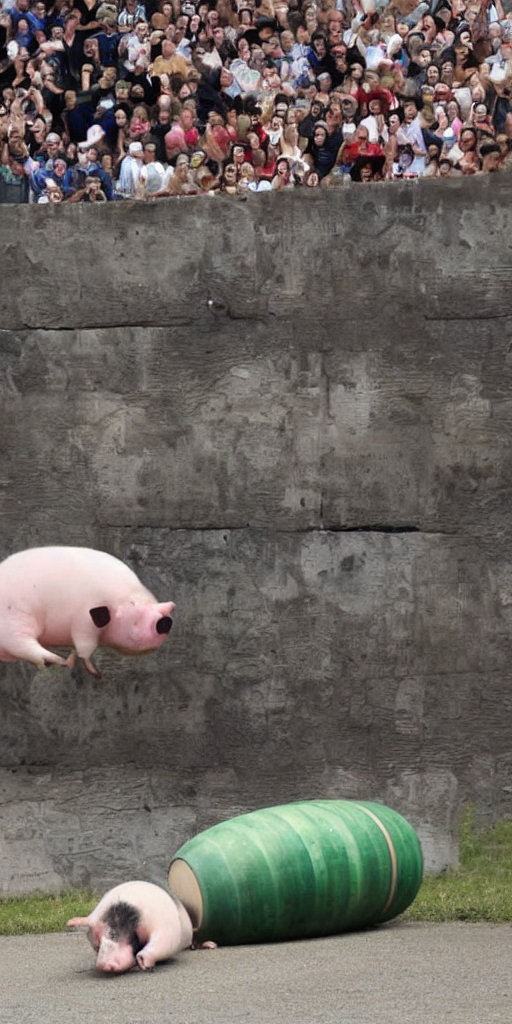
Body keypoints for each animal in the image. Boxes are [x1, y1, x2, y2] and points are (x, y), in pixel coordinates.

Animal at [0, 546, 175, 678]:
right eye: (136, 615)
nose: (165, 622)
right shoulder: (84, 618)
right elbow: (85, 644)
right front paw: (97, 674)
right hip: (16, 616)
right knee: (22, 643)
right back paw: (59, 660)